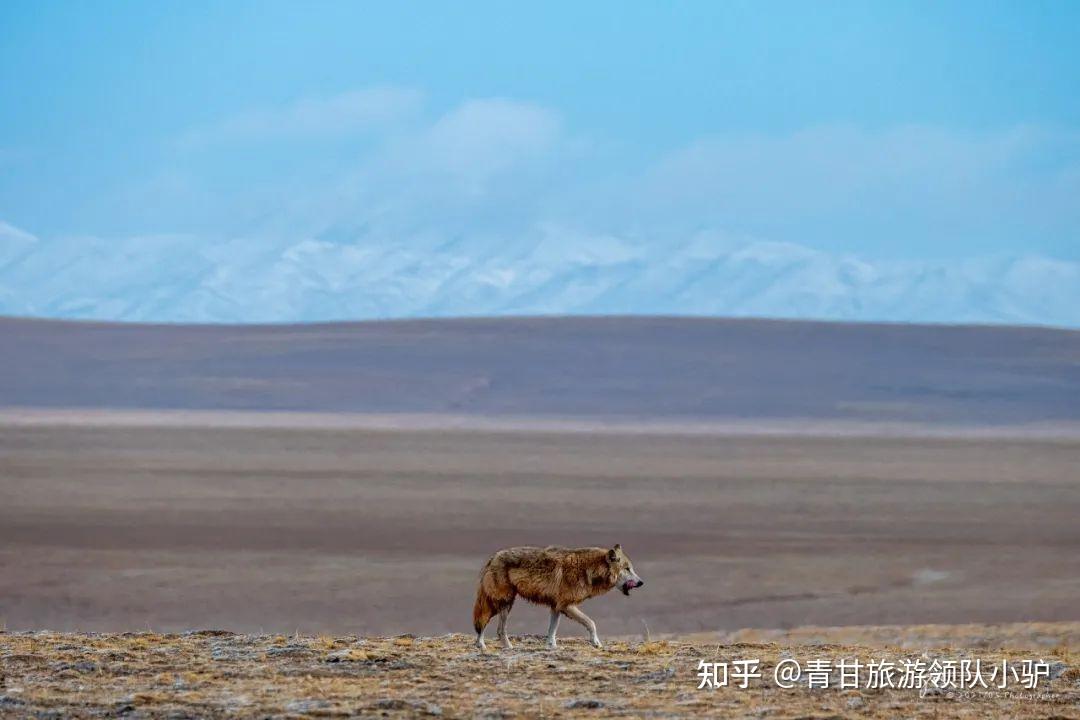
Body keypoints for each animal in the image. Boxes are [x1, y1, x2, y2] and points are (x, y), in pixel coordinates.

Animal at [470, 544, 639, 651]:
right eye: (627, 569)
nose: (641, 582)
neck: (588, 570)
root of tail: (493, 557)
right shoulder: (566, 605)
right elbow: (591, 623)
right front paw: (596, 642)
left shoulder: (556, 607)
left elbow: (552, 630)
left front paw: (552, 646)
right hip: (502, 603)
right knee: (490, 626)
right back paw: (489, 646)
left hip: (503, 604)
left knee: (491, 627)